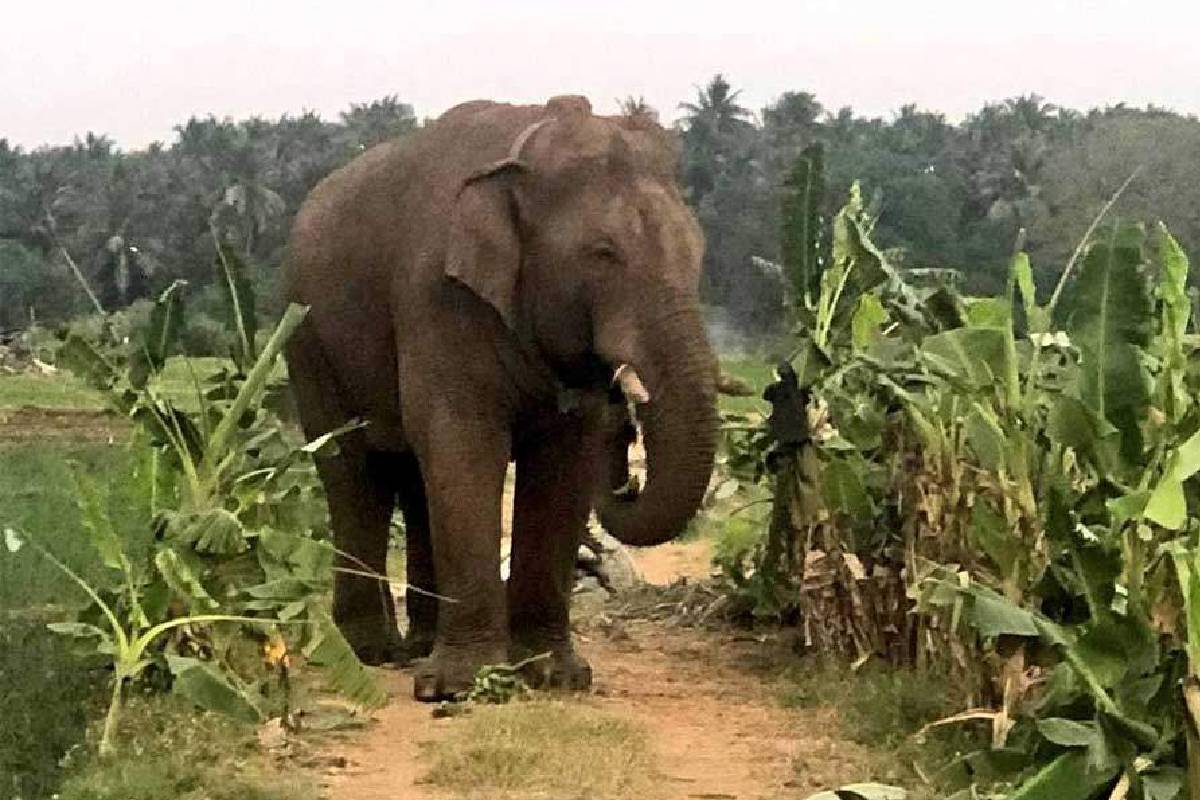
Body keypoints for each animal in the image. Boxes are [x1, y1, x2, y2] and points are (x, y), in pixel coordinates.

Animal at [282, 94, 718, 700]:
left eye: (699, 252)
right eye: (603, 253)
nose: (628, 458)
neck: (526, 144)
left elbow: (564, 464)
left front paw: (557, 677)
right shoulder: (437, 296)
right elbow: (462, 444)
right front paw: (459, 688)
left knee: (413, 480)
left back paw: (417, 647)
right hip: (306, 338)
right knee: (354, 474)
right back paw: (371, 653)